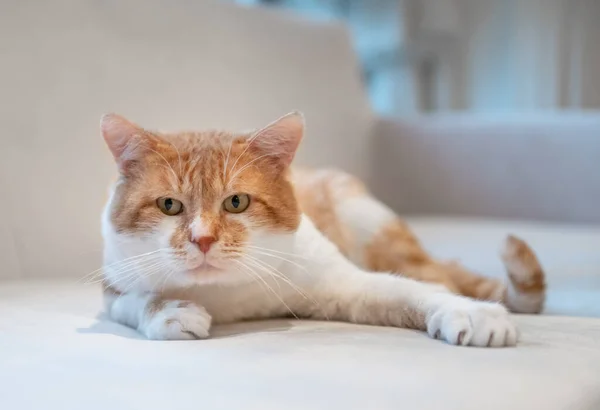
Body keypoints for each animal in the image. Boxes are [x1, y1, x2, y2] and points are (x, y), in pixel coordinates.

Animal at [101, 111, 548, 346]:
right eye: (169, 205)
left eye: (236, 202)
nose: (203, 239)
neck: (230, 301)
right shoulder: (111, 289)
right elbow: (137, 299)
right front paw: (170, 310)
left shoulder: (344, 284)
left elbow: (413, 292)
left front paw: (471, 312)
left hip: (367, 221)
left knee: (438, 276)